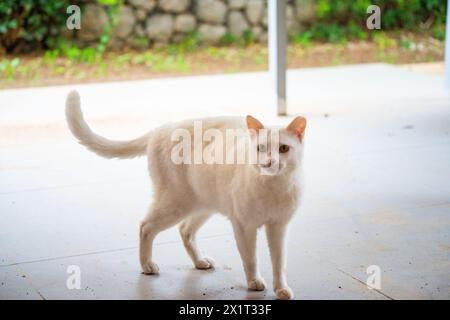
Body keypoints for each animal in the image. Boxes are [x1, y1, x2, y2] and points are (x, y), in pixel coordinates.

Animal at [66, 90, 306, 300]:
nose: (269, 162)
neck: (273, 187)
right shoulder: (244, 226)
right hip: (175, 204)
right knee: (146, 226)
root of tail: (160, 128)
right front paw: (254, 282)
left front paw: (281, 289)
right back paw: (147, 266)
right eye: (261, 148)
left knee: (185, 230)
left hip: (201, 205)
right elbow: (251, 259)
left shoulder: (278, 227)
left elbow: (279, 263)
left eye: (283, 148)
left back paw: (199, 262)